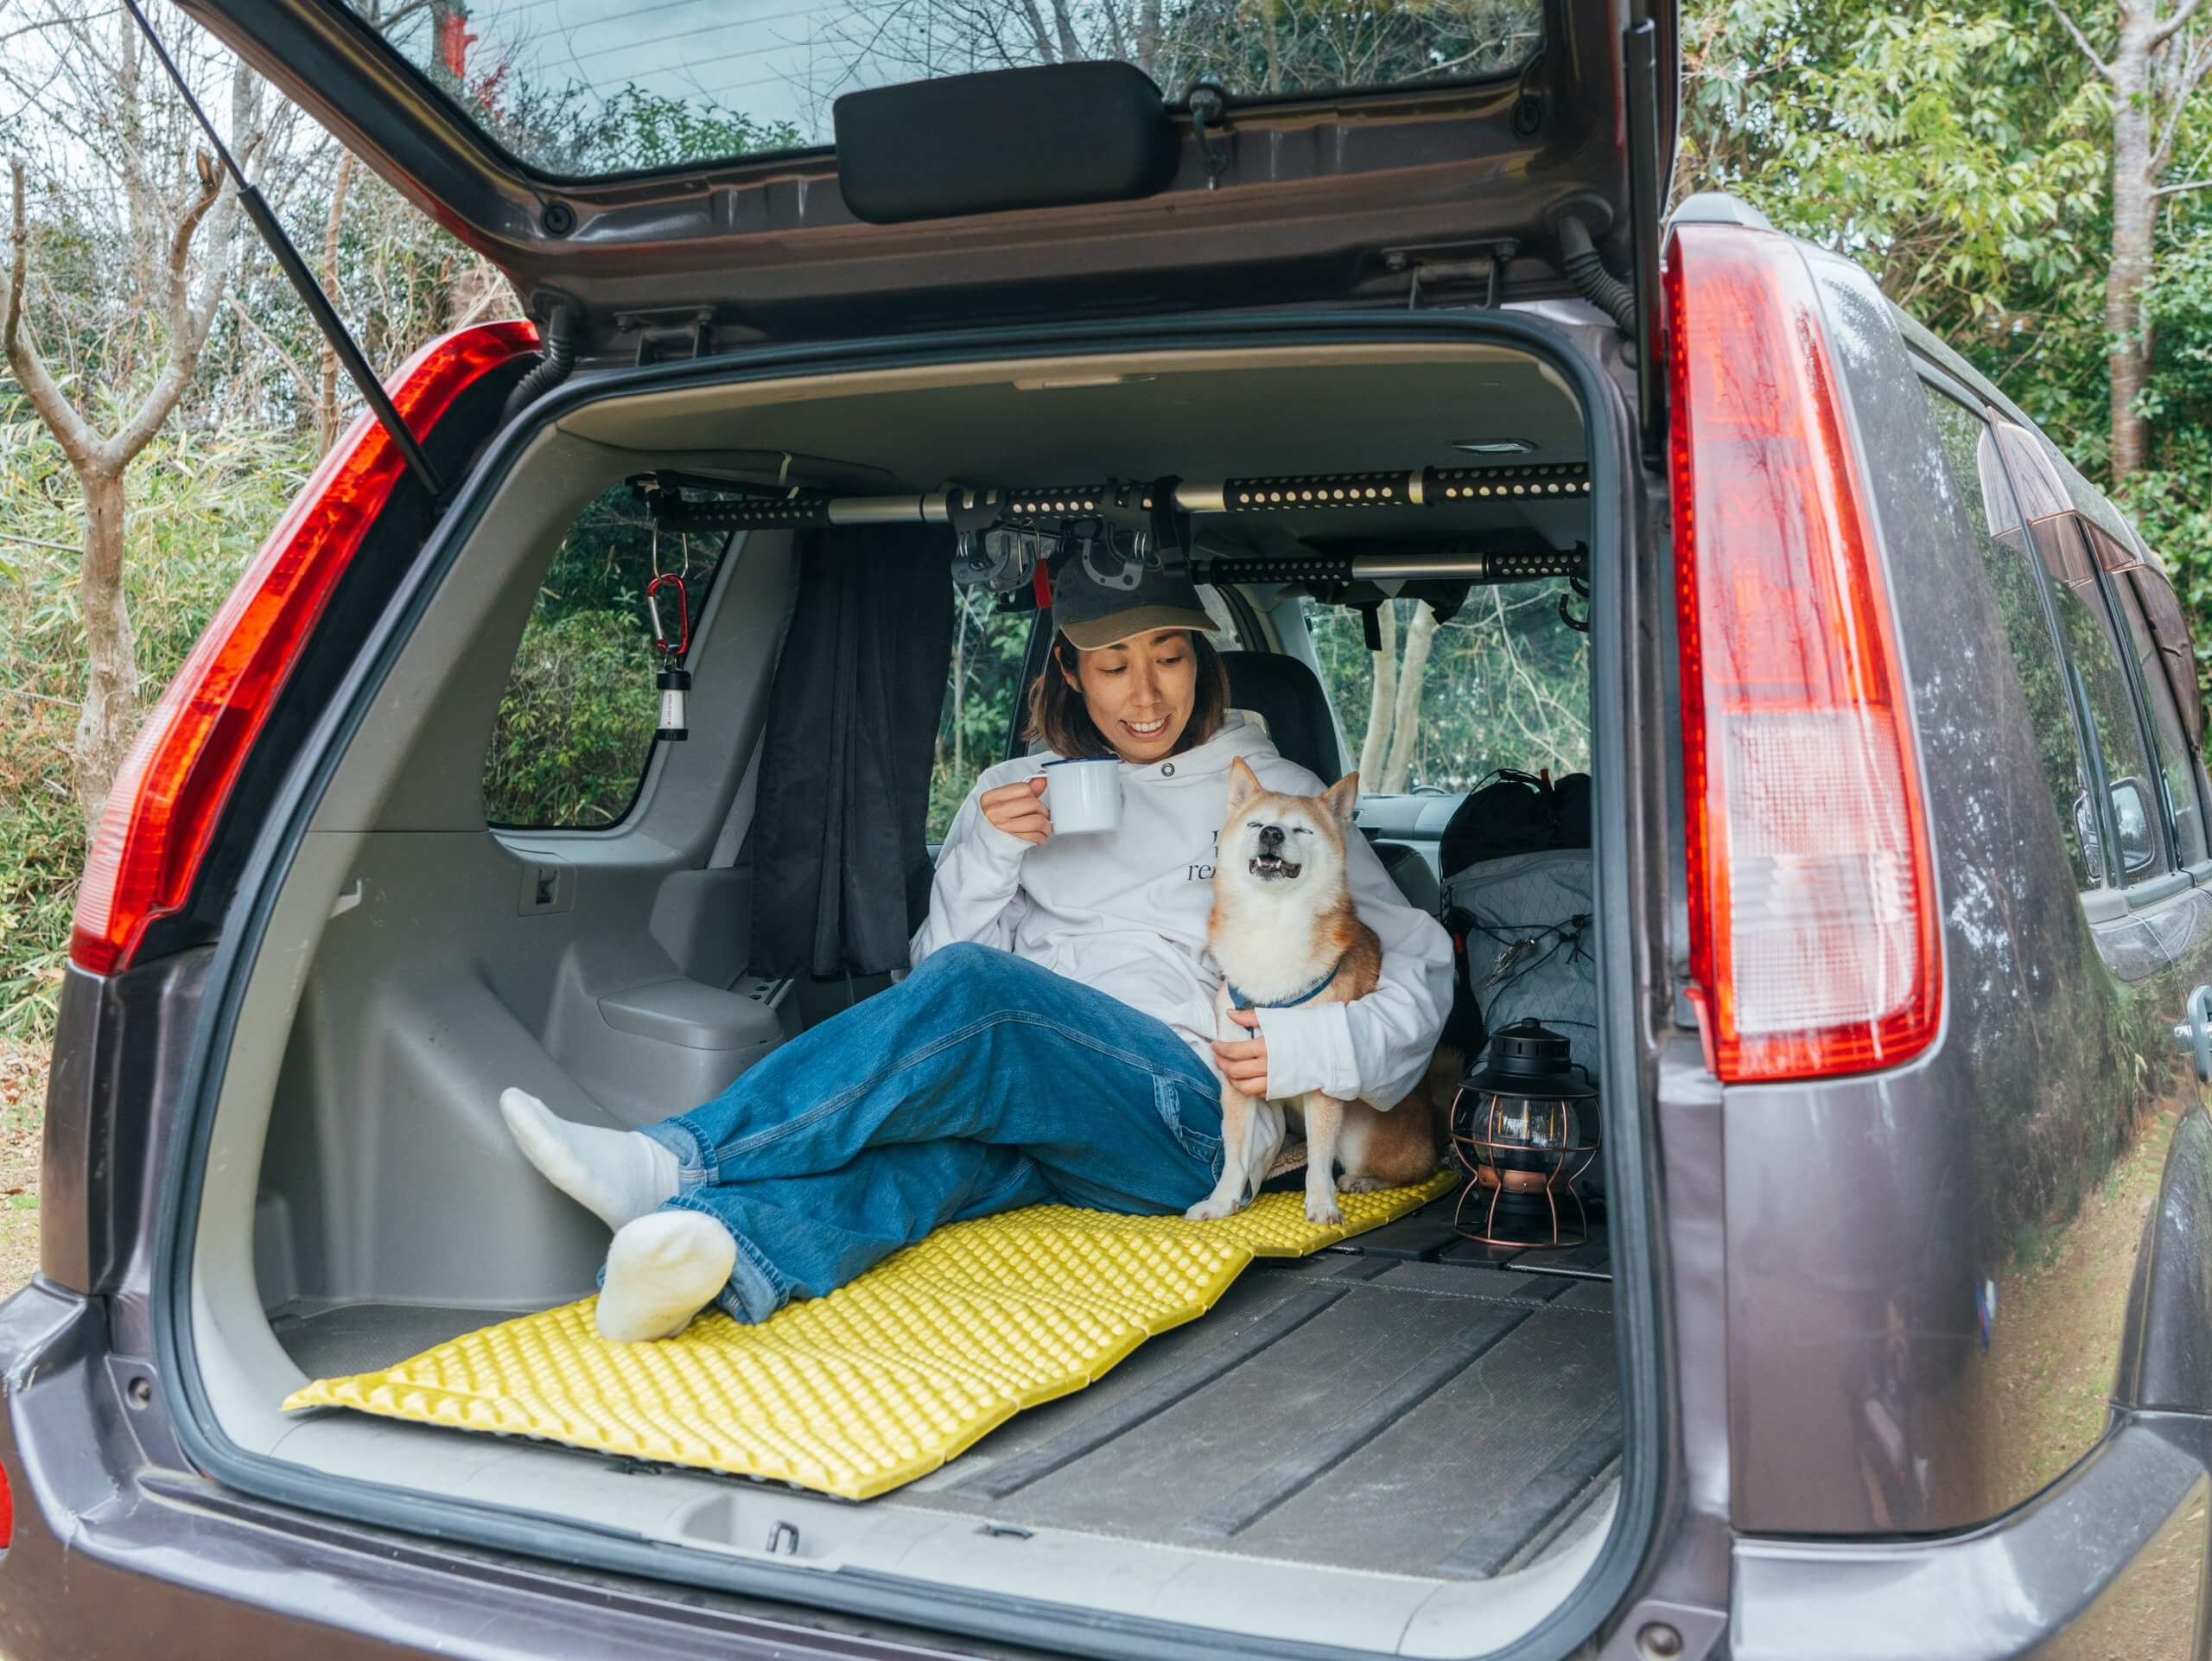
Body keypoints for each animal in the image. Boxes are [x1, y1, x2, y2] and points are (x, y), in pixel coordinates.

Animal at [1194, 760, 1451, 1229]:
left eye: (1301, 829)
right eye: (1256, 823)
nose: (1272, 833)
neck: (1271, 927)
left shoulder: (1322, 1086)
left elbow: (1318, 1159)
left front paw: (1321, 1205)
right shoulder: (1237, 1081)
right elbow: (1235, 1157)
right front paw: (1220, 1202)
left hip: (1360, 1134)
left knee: (1413, 1168)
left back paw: (1364, 1180)